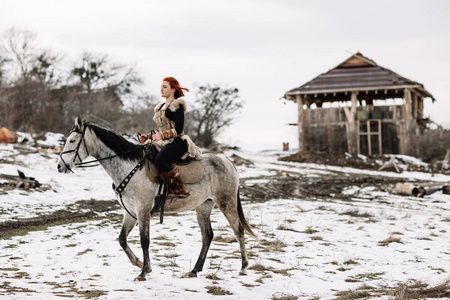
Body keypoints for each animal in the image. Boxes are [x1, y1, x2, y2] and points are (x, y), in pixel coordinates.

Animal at [56, 116, 256, 282]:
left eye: (72, 140)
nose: (59, 166)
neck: (129, 168)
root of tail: (228, 162)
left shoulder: (143, 211)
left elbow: (145, 240)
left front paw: (144, 271)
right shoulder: (130, 212)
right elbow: (122, 239)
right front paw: (138, 263)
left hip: (226, 202)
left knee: (238, 230)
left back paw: (244, 267)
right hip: (203, 206)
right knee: (207, 235)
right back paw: (194, 270)